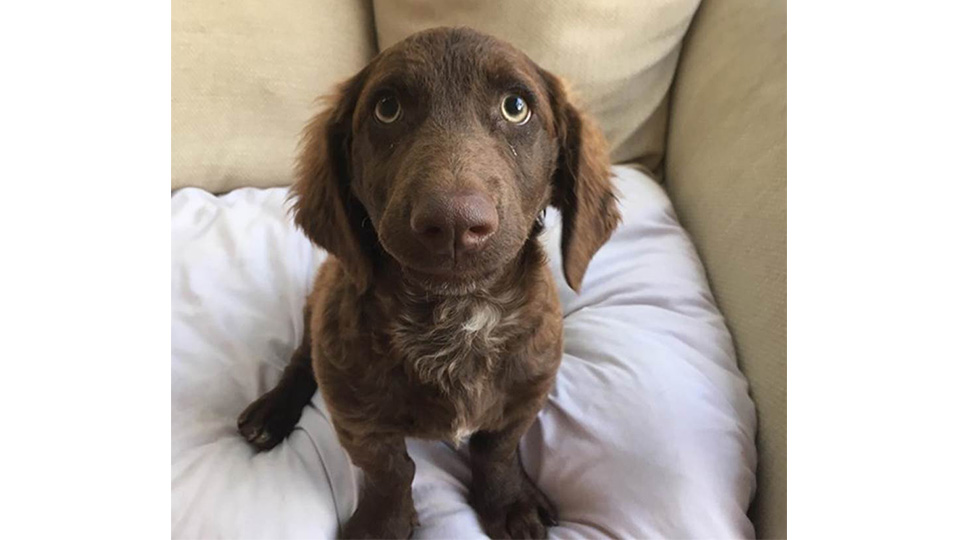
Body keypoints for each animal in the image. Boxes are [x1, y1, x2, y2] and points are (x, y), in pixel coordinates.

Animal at [236, 26, 620, 540]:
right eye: (387, 108)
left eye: (516, 107)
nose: (455, 223)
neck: (455, 317)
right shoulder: (355, 415)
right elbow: (390, 470)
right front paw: (383, 524)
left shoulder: (526, 394)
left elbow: (496, 451)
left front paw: (508, 502)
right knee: (302, 358)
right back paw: (271, 410)